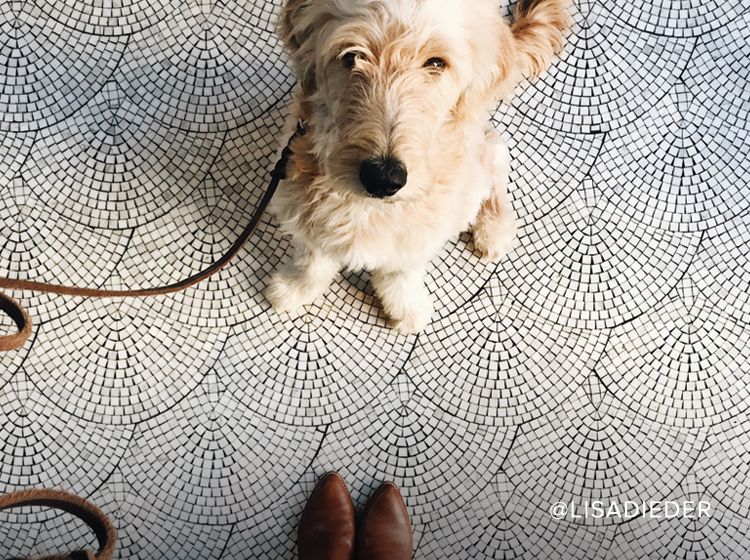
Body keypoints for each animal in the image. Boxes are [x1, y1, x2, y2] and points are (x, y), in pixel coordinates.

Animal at [268, 0, 572, 332]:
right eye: (351, 56)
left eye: (436, 63)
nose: (383, 177)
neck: (370, 208)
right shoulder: (304, 213)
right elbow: (312, 263)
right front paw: (295, 290)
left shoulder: (418, 239)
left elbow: (400, 276)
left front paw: (406, 311)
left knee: (496, 158)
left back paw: (494, 227)